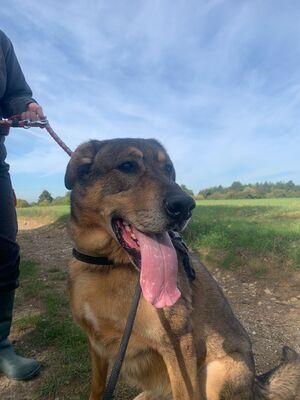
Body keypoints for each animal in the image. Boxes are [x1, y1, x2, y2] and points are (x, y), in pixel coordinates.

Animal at [65, 138, 300, 400]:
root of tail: (255, 385)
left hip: (216, 371)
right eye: (127, 166)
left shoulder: (177, 344)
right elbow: (96, 388)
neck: (108, 266)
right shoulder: (96, 345)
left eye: (168, 169)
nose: (185, 206)